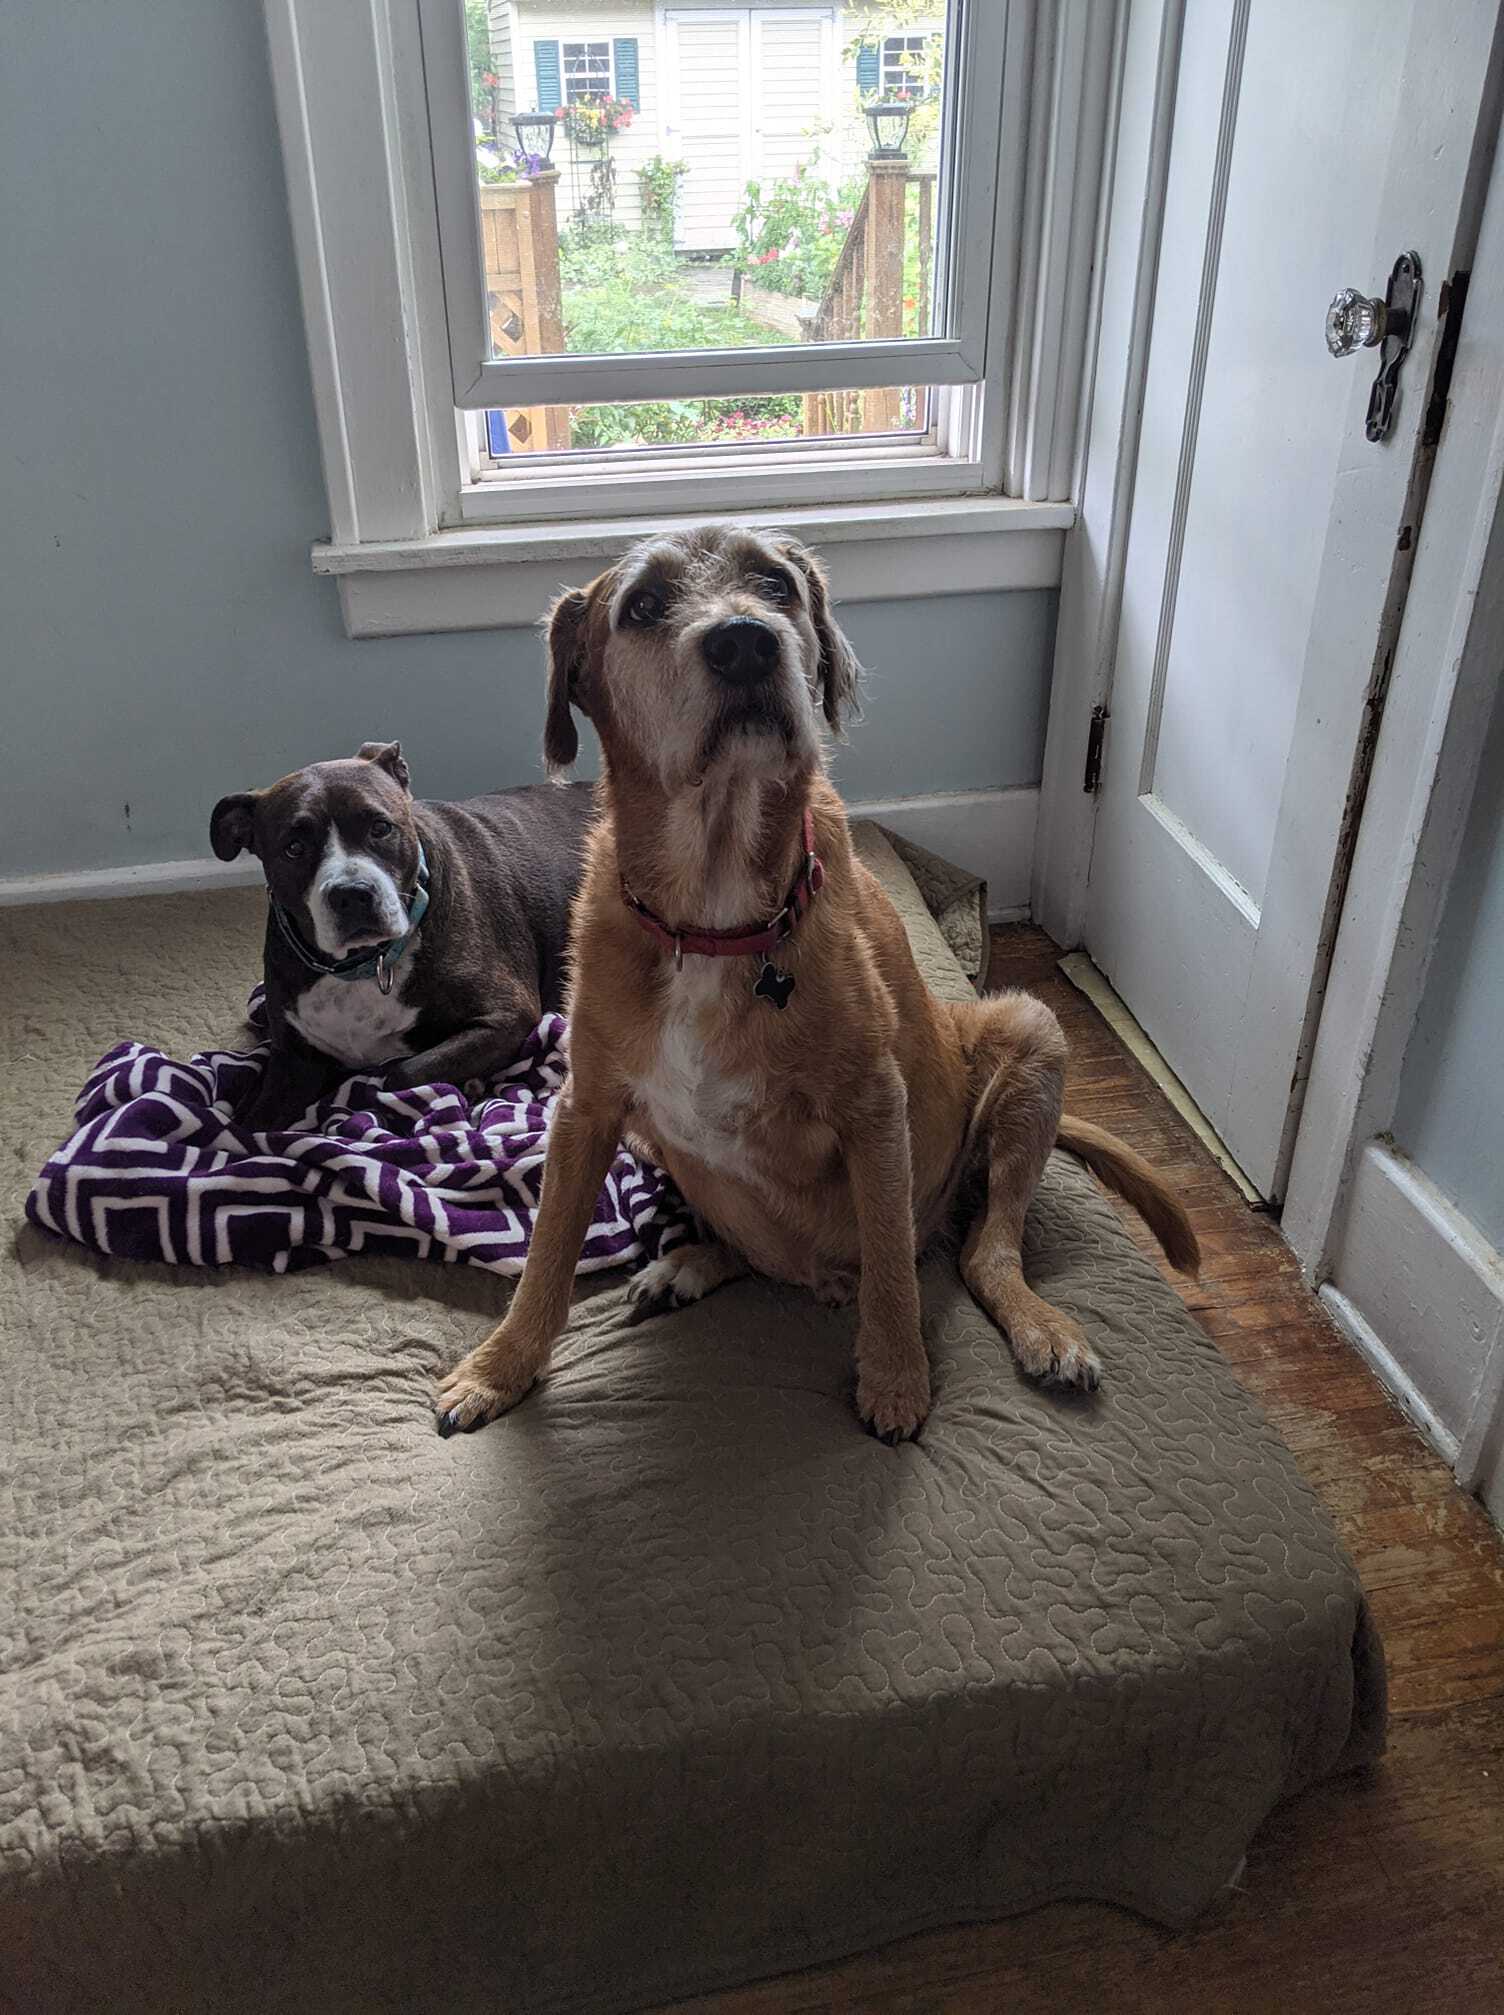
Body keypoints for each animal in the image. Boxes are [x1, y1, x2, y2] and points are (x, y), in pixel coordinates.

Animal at [209, 745, 592, 1136]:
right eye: (294, 848)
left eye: (380, 828)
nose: (352, 894)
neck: (364, 963)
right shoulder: (293, 1066)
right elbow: (245, 1128)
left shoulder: (508, 1014)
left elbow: (400, 1073)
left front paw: (467, 1084)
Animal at [437, 527, 1193, 1442]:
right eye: (644, 605)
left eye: (776, 585)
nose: (743, 641)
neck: (715, 912)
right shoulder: (586, 1106)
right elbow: (547, 1251)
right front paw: (499, 1367)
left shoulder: (875, 1107)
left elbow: (893, 1270)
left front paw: (897, 1376)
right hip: (655, 1139)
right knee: (763, 1250)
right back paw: (691, 1263)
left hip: (1031, 1033)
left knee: (982, 1251)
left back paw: (1038, 1323)